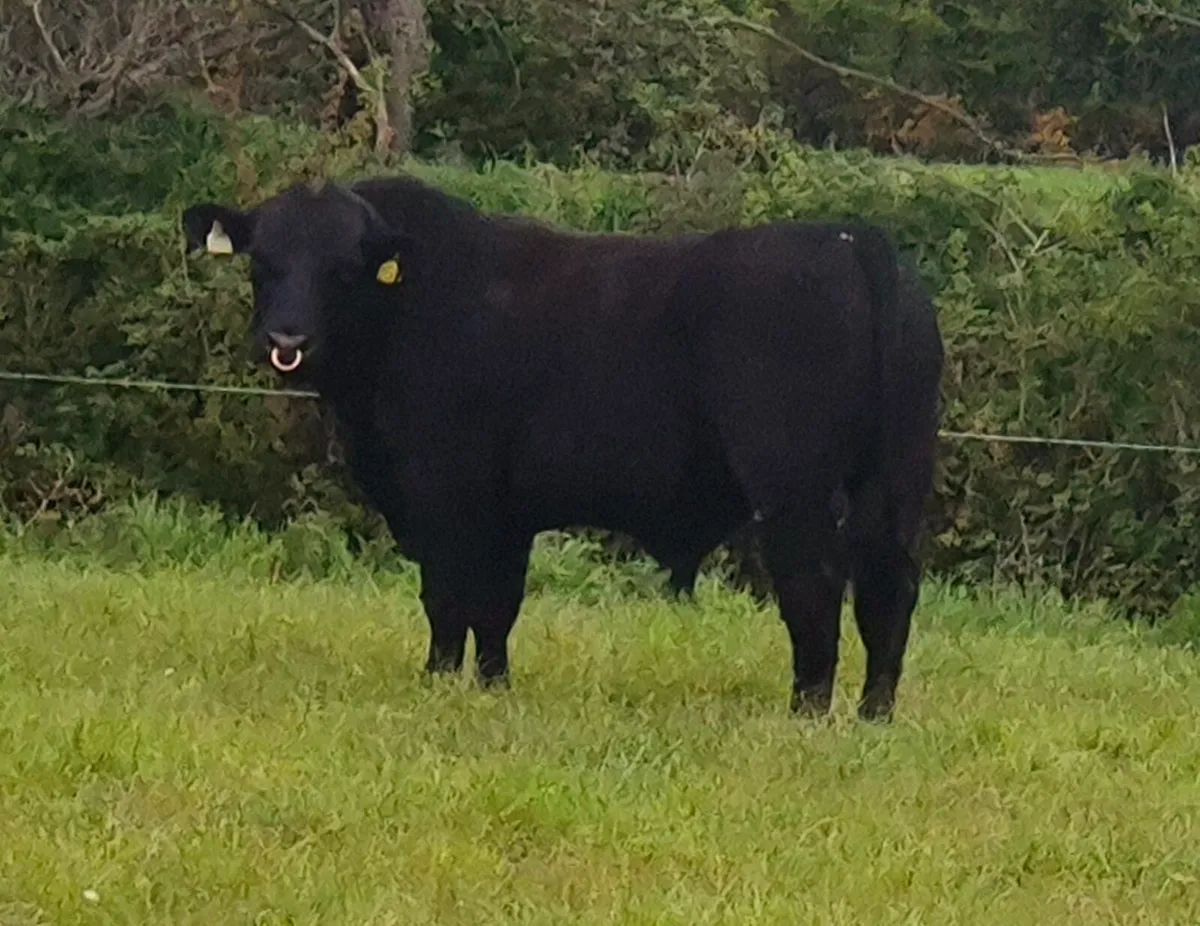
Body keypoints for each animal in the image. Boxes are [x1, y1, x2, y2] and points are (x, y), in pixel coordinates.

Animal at [180, 174, 944, 721]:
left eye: (344, 269)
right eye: (263, 262)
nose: (287, 340)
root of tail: (851, 239)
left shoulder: (444, 490)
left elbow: (448, 596)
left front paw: (438, 681)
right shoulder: (507, 509)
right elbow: (496, 604)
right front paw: (492, 687)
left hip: (793, 485)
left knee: (815, 585)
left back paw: (807, 712)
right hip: (896, 478)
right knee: (889, 587)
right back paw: (874, 714)